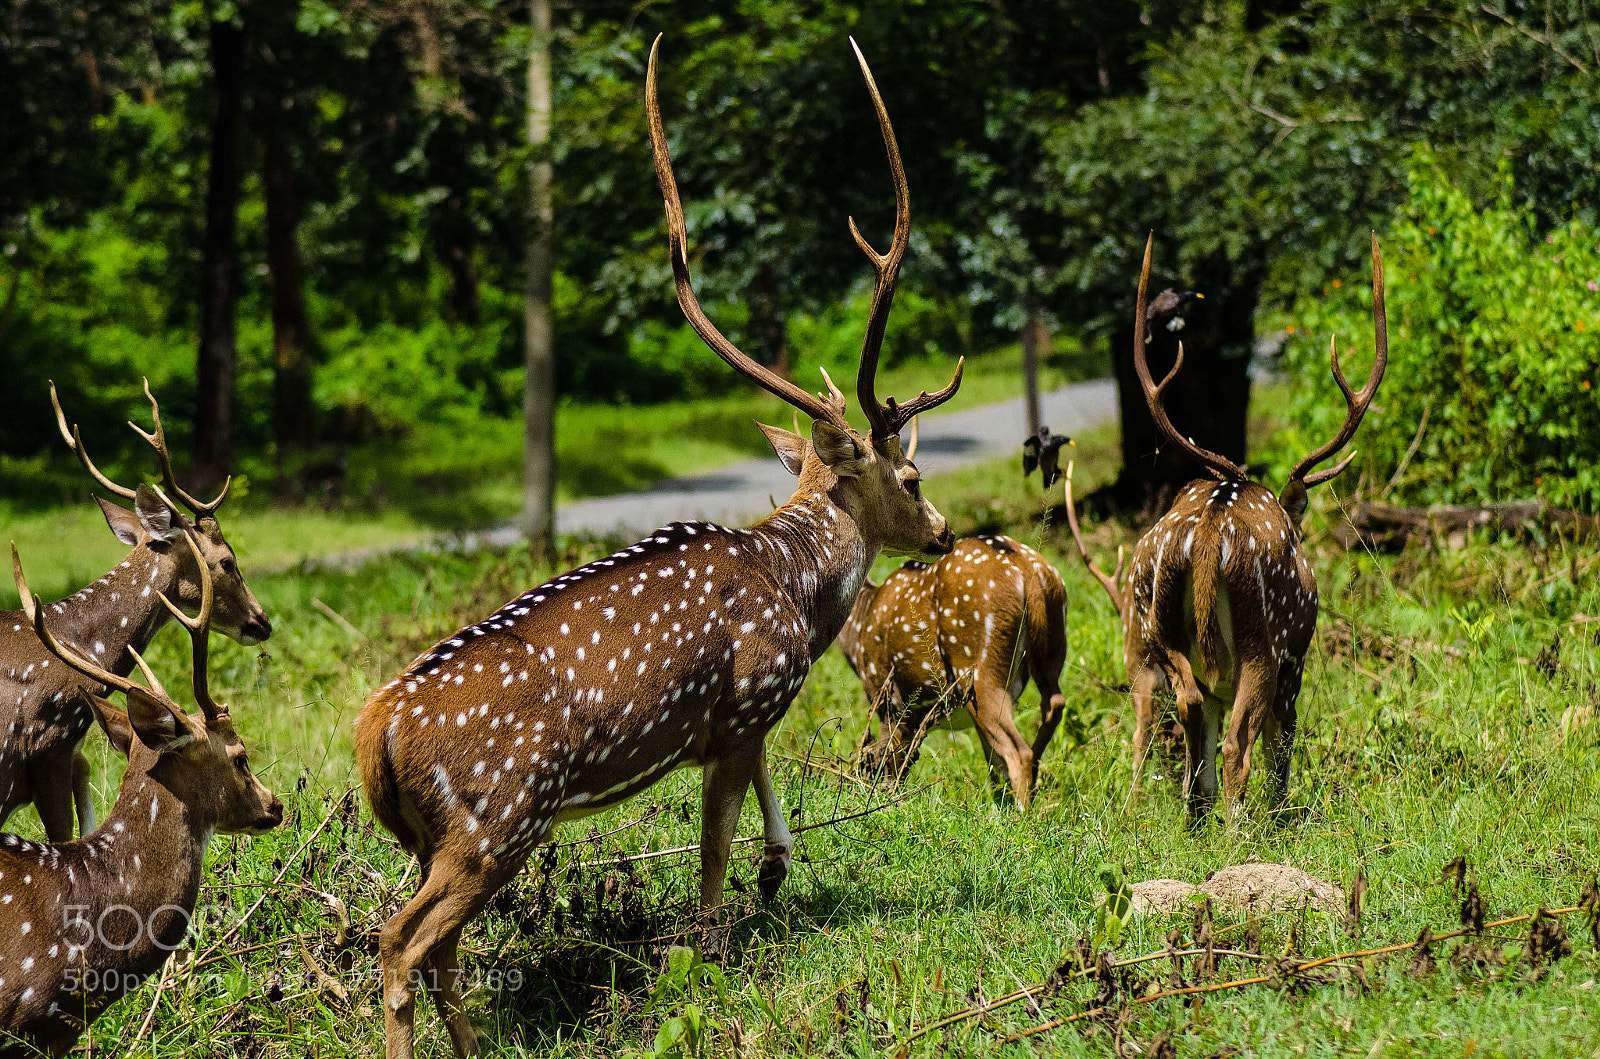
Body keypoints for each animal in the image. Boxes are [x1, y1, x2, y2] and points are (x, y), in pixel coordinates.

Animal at [353, 37, 963, 1059]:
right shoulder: (749, 694)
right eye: (912, 477)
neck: (796, 589)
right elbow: (712, 844)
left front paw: (777, 867)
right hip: (496, 818)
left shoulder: (741, 719)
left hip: (438, 838)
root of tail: (375, 733)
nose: (944, 529)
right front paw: (716, 954)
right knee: (403, 941)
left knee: (435, 948)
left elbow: (763, 797)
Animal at [836, 424, 1070, 807]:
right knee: (1052, 705)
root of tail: (1031, 574)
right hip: (1051, 644)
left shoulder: (885, 694)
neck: (861, 620)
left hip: (979, 664)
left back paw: (1024, 815)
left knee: (1017, 750)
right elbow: (990, 762)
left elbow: (891, 763)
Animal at [1063, 233, 1386, 821]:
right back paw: (1243, 830)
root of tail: (1213, 530)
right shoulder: (1295, 662)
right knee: (1239, 744)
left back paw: (1195, 820)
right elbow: (1281, 744)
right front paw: (1280, 816)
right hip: (1264, 639)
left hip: (1159, 625)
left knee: (1186, 708)